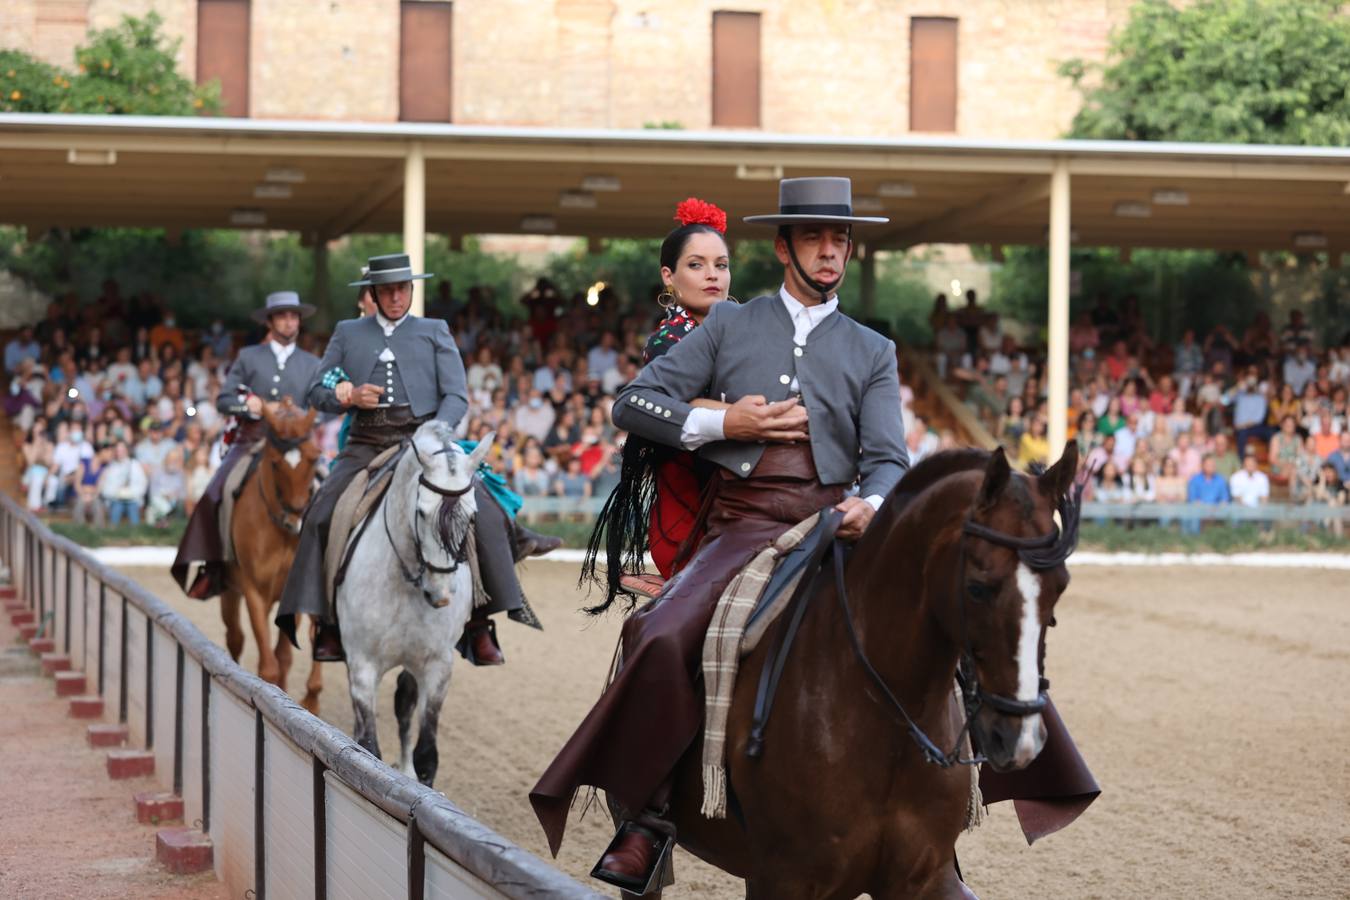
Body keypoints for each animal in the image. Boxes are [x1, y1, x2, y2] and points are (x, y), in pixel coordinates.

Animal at [224, 404, 326, 712]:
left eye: (314, 458)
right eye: (274, 463)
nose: (297, 520)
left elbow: (285, 656)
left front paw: (306, 700)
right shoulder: (254, 592)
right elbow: (267, 665)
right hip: (230, 591)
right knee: (235, 636)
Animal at [336, 426, 494, 782]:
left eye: (473, 515)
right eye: (421, 511)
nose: (442, 594)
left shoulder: (437, 665)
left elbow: (427, 756)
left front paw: (413, 776)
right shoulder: (362, 664)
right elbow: (368, 747)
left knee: (405, 704)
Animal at [637, 442, 1080, 900]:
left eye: (1059, 587)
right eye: (977, 587)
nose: (1018, 740)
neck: (888, 716)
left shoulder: (924, 877)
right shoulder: (781, 879)